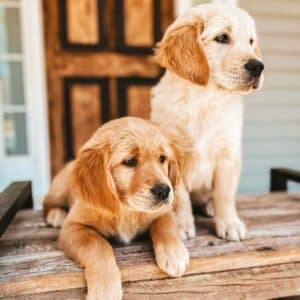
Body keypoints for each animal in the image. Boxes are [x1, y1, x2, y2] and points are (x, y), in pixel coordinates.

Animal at [43, 116, 189, 300]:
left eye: (162, 158)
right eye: (130, 162)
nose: (164, 191)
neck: (126, 209)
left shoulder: (163, 212)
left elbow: (166, 226)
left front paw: (174, 254)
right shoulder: (73, 227)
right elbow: (98, 245)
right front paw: (105, 290)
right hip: (60, 186)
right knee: (46, 201)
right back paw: (56, 215)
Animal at [151, 3, 264, 241]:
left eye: (251, 41)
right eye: (222, 38)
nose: (259, 66)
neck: (205, 99)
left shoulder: (228, 153)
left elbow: (224, 194)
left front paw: (230, 224)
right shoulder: (174, 156)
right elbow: (181, 197)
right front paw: (182, 226)